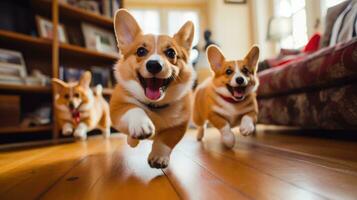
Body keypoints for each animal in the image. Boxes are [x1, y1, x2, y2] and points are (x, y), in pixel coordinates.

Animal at [110, 9, 196, 169]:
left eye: (171, 53)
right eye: (141, 51)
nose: (154, 65)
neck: (155, 105)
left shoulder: (179, 126)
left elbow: (165, 141)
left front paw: (158, 157)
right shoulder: (117, 109)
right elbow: (134, 108)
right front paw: (141, 125)